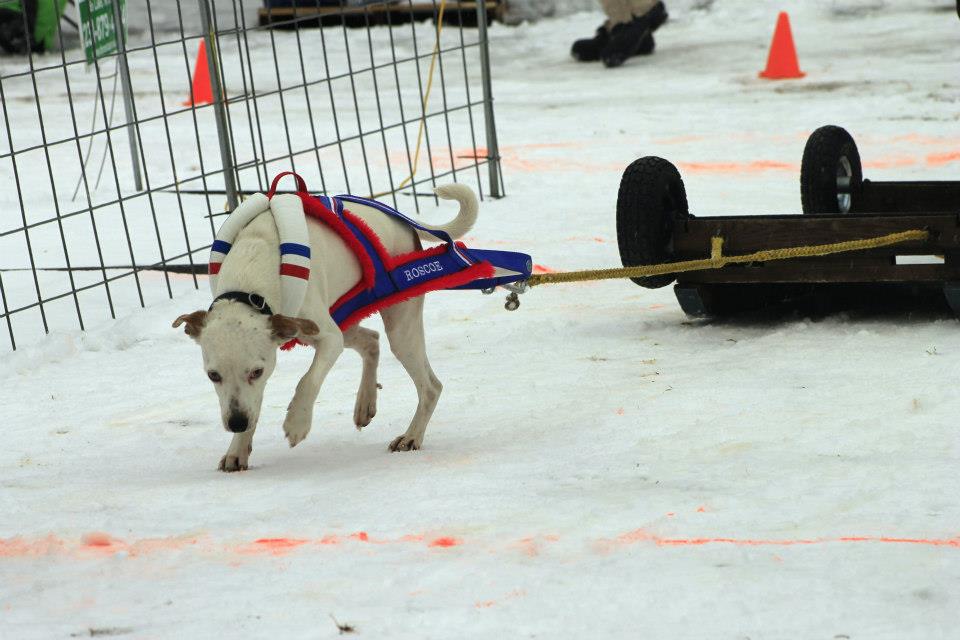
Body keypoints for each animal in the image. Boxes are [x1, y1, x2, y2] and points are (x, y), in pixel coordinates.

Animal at [173, 185, 480, 470]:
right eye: (213, 375)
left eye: (256, 371)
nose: (236, 423)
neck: (250, 279)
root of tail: (403, 222)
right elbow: (254, 404)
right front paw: (238, 448)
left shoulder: (327, 338)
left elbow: (307, 380)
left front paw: (297, 422)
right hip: (346, 321)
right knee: (372, 340)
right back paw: (365, 402)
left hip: (399, 328)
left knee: (430, 386)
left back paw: (411, 436)